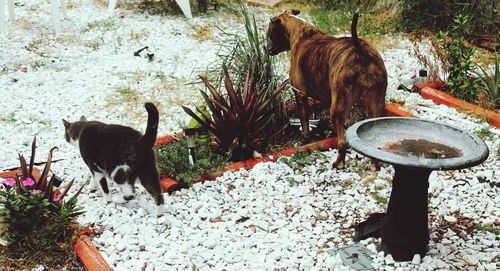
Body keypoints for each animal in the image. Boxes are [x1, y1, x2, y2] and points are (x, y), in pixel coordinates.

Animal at [268, 9, 388, 169]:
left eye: (270, 34)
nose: (267, 50)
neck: (301, 33)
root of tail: (360, 51)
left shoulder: (300, 96)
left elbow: (305, 124)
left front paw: (305, 139)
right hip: (376, 104)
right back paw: (374, 163)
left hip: (337, 109)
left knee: (342, 142)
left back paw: (338, 163)